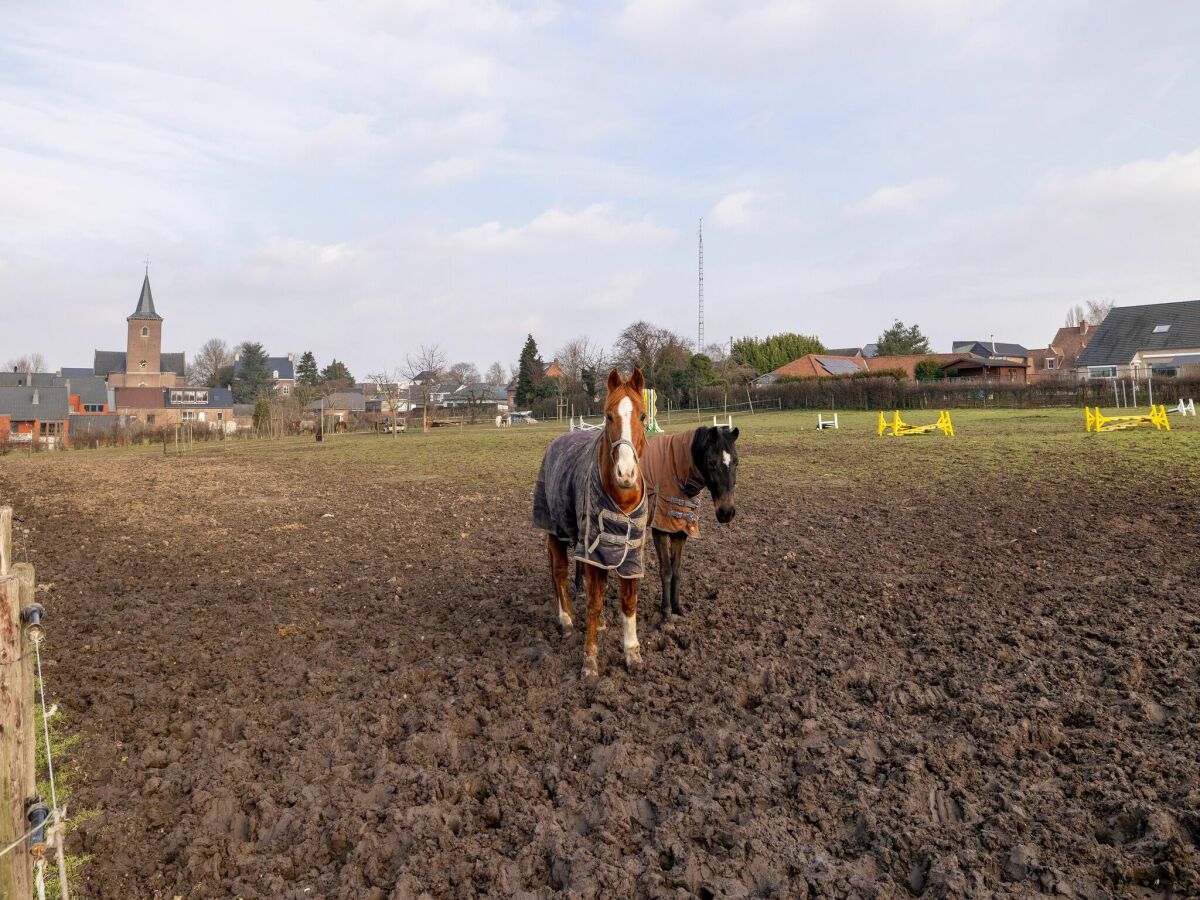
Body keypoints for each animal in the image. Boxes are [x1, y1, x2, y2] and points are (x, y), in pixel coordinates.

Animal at [532, 367, 648, 676]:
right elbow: (593, 602)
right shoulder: (593, 550)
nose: (625, 473)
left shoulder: (630, 553)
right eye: (608, 416)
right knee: (559, 573)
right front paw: (590, 661)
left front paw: (632, 654)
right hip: (555, 531)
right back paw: (566, 620)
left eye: (643, 416)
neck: (621, 500)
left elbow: (628, 603)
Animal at [643, 427, 734, 624]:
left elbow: (676, 570)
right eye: (711, 462)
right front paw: (666, 612)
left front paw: (677, 607)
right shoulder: (659, 529)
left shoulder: (680, 531)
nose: (727, 512)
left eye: (736, 462)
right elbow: (666, 570)